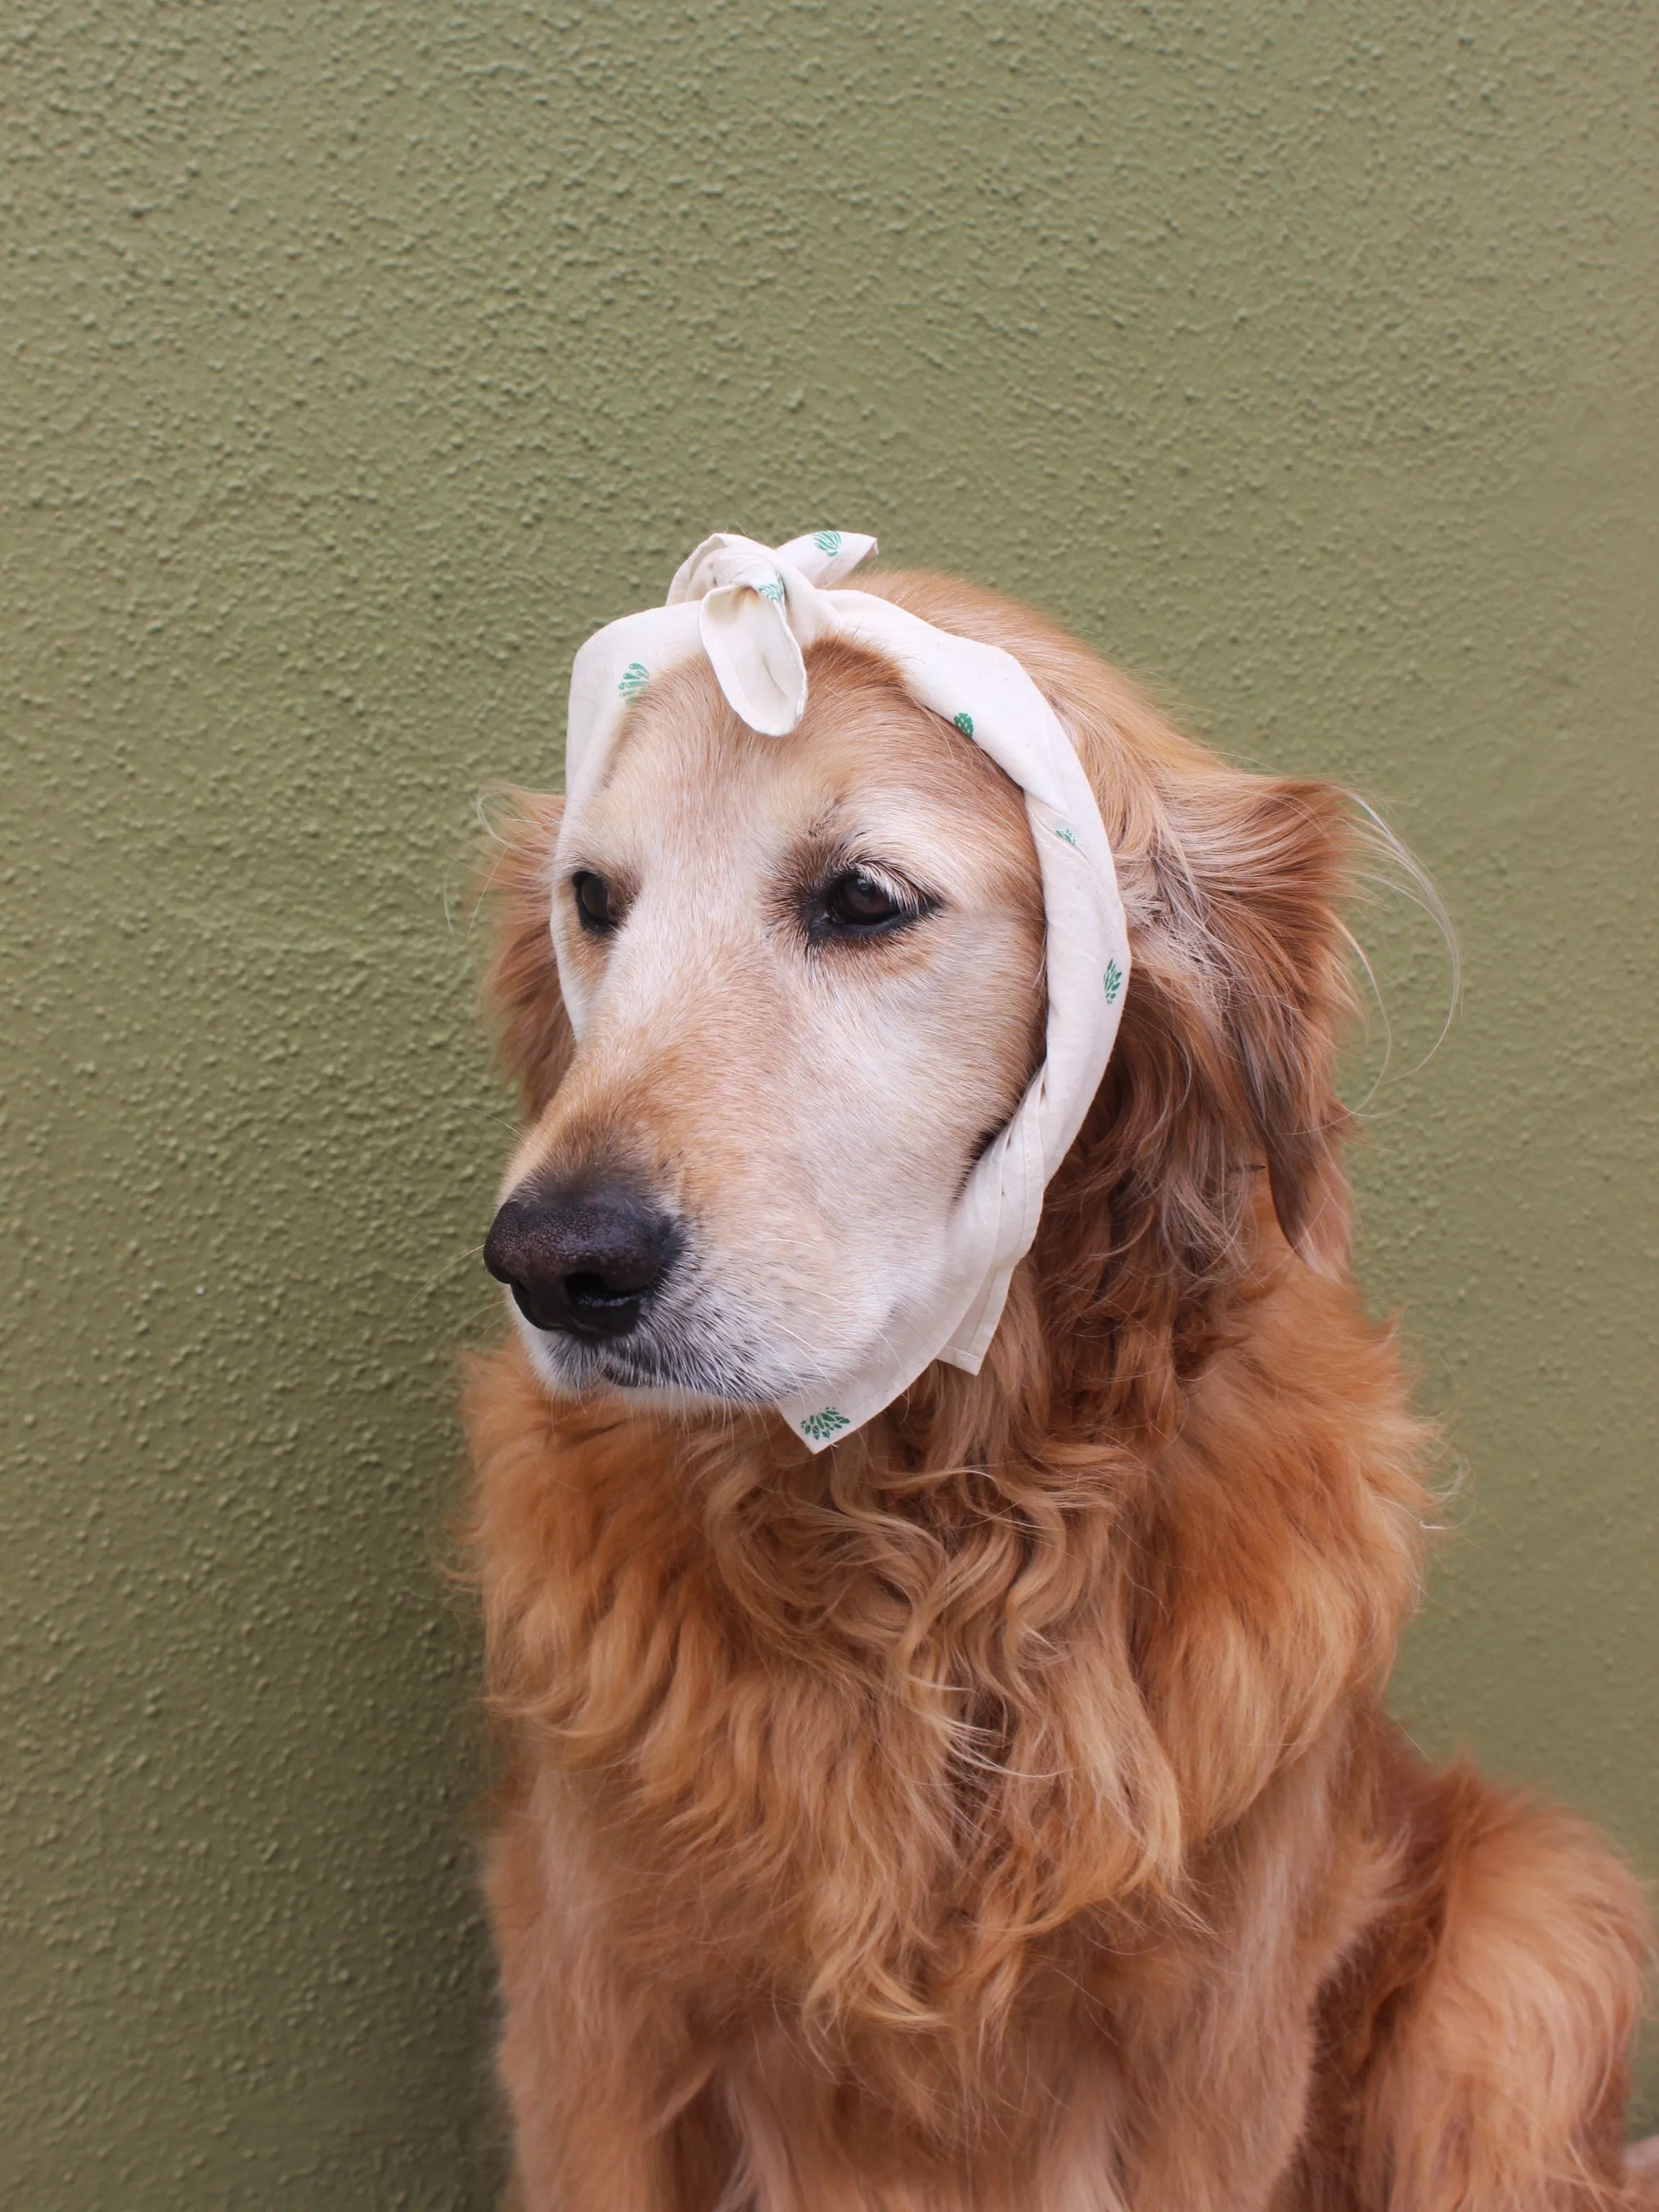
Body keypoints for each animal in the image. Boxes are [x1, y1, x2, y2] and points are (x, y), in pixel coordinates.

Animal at [462, 562, 1654, 2203]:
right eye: (593, 902)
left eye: (862, 898)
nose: (552, 1262)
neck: (938, 1525)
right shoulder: (598, 2019)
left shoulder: (1211, 2055)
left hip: (1533, 1952)